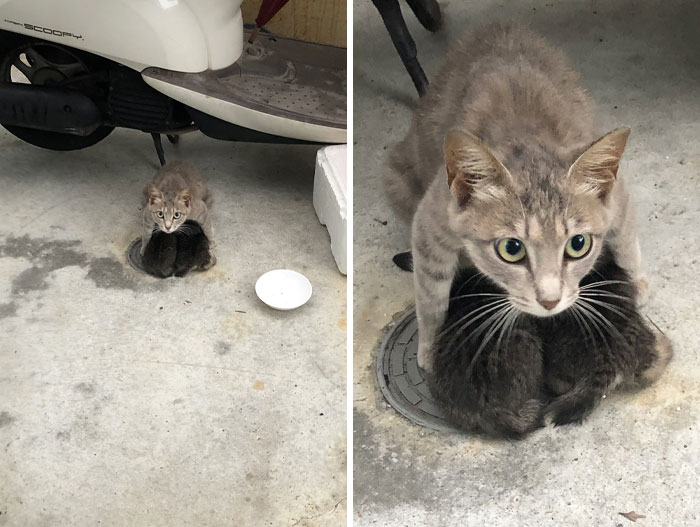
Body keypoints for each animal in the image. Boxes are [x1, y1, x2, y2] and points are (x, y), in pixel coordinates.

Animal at [386, 23, 648, 372]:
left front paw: (638, 281)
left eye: (578, 244)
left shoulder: (617, 195)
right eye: (511, 249)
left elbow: (625, 239)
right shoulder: (431, 220)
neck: (526, 134)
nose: (550, 301)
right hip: (397, 183)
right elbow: (430, 293)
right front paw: (430, 348)